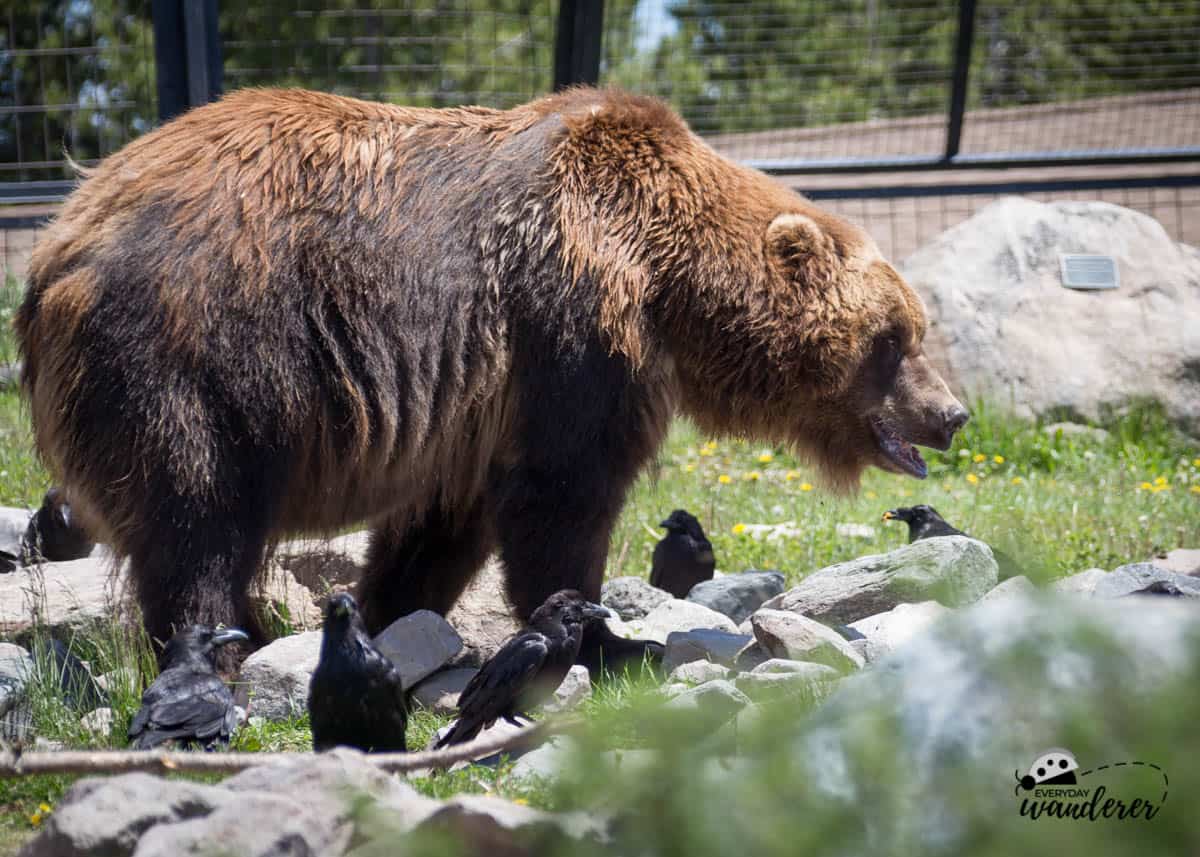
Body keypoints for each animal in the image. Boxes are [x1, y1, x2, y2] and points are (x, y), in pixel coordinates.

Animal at [16, 88, 964, 662]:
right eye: (893, 337)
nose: (952, 413)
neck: (669, 285)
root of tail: (61, 237)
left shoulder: (474, 404)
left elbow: (442, 524)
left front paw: (391, 618)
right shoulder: (572, 329)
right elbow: (561, 497)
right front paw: (601, 634)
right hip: (197, 353)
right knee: (198, 512)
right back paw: (221, 639)